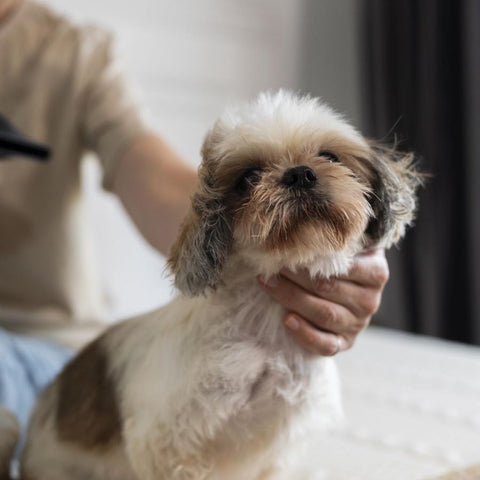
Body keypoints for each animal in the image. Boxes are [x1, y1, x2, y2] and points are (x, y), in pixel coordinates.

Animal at [15, 91, 420, 480]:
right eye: (249, 177)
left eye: (329, 156)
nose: (300, 174)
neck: (267, 325)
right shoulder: (167, 445)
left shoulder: (276, 447)